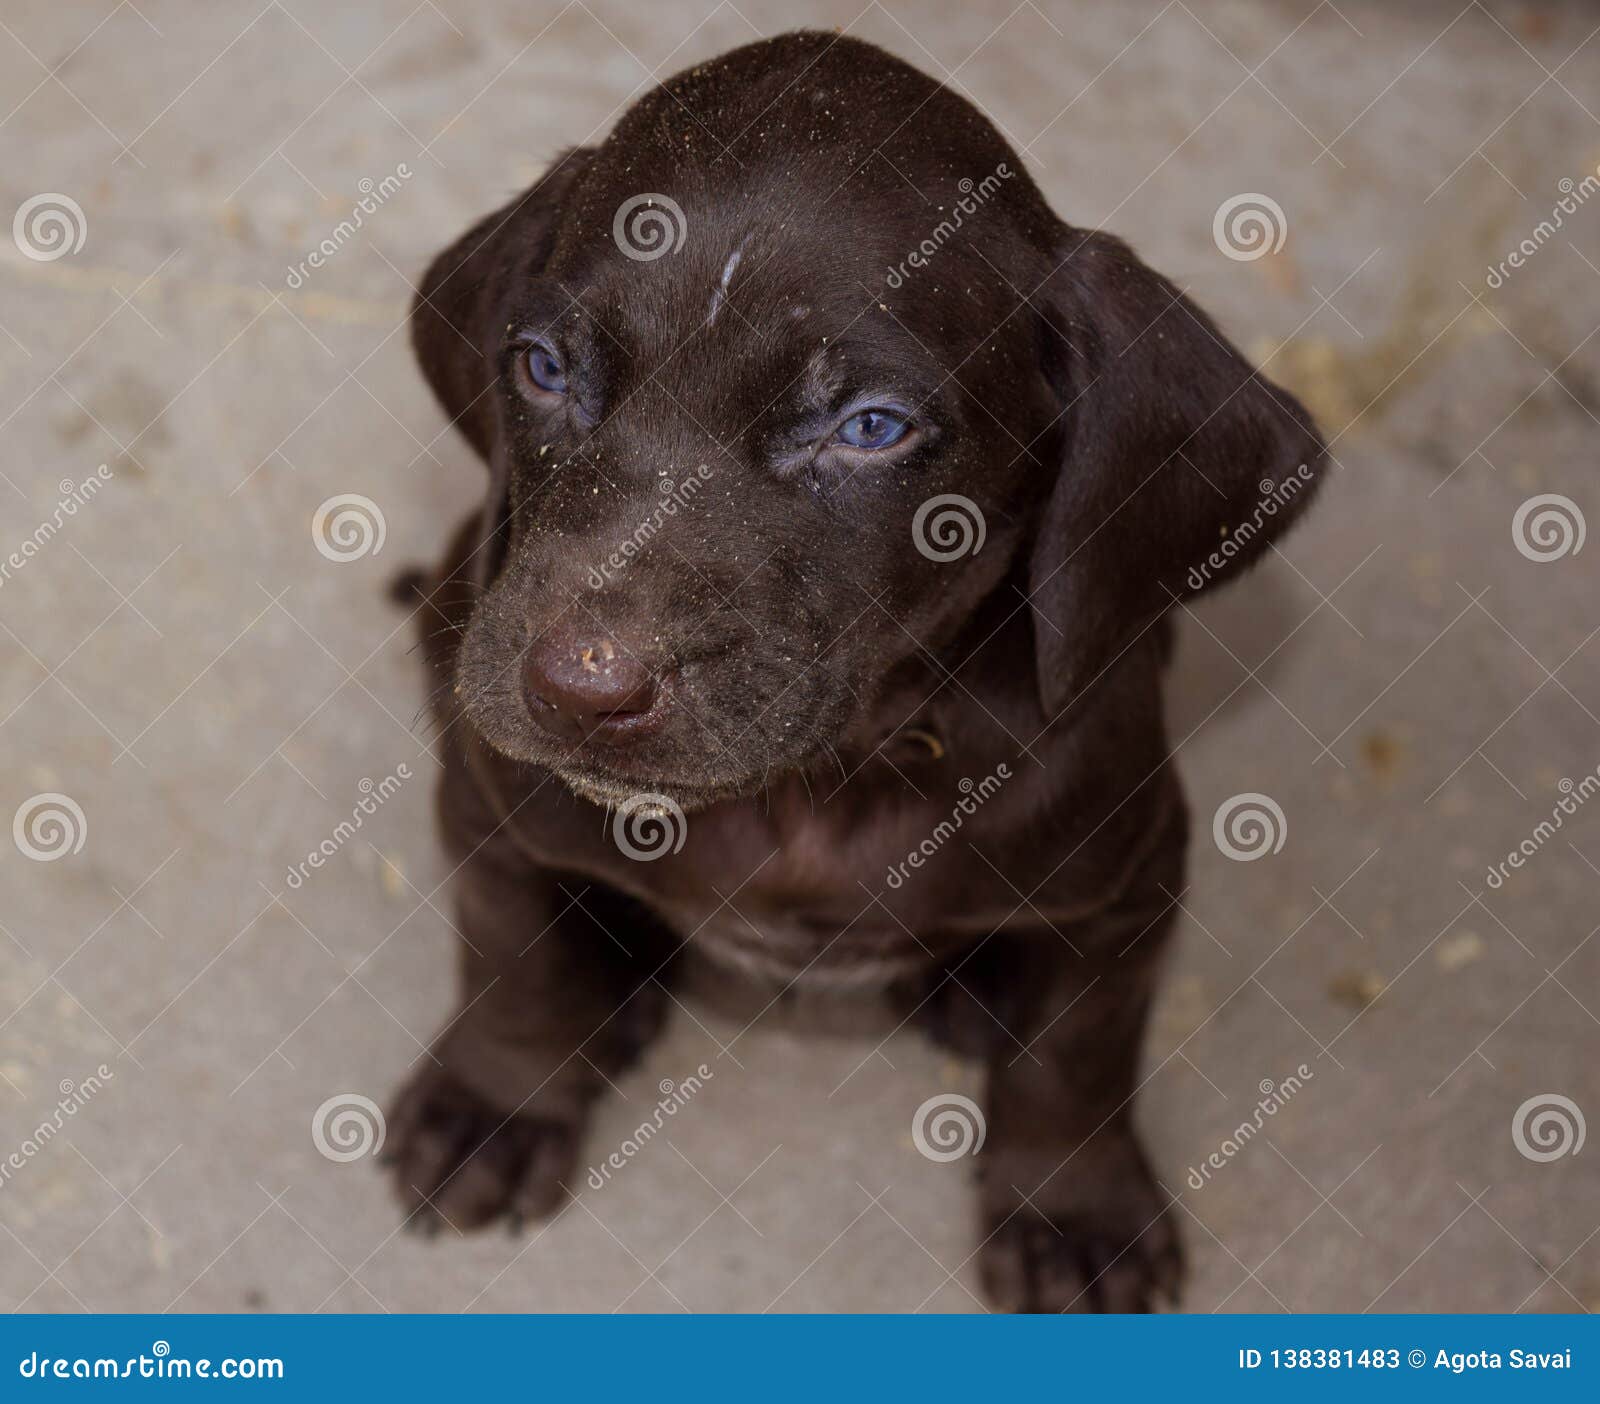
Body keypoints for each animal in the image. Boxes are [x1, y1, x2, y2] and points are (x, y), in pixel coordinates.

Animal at [390, 27, 1324, 1311]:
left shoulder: (1132, 879)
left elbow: (1077, 1057)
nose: (578, 691)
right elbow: (512, 959)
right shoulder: (489, 806)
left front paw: (1073, 1210)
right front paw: (496, 1101)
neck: (824, 778)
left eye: (872, 429)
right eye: (539, 367)